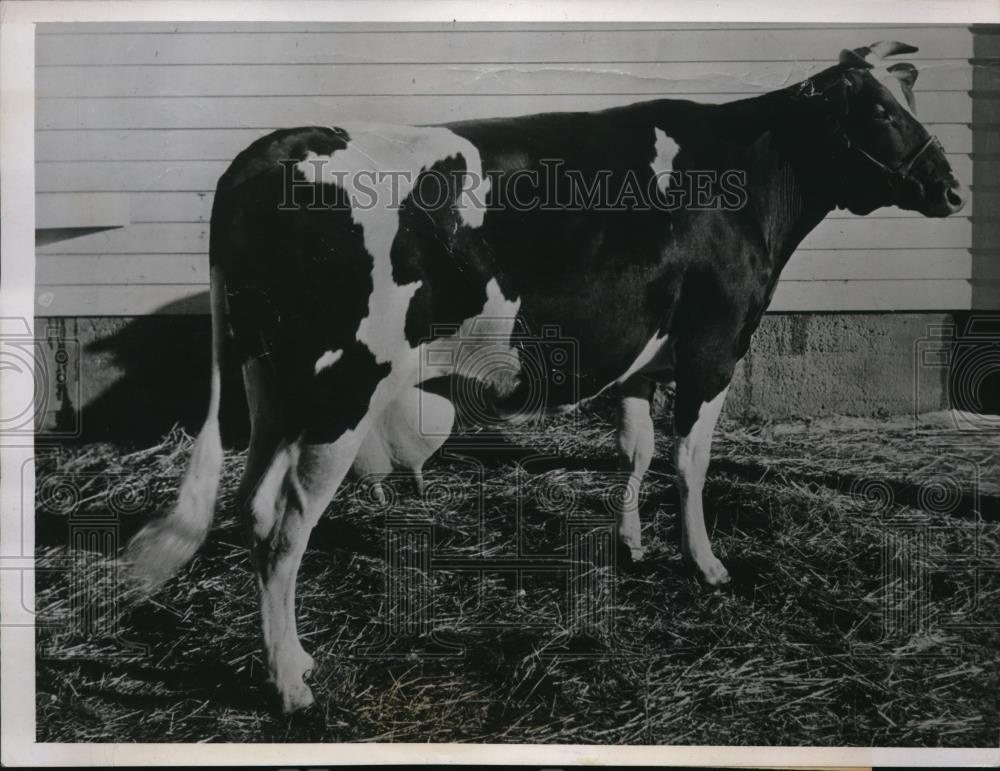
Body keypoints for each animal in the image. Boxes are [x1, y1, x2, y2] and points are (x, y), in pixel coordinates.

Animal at [127, 42, 968, 716]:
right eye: (880, 112)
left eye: (910, 99)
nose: (954, 190)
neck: (749, 175)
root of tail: (275, 147)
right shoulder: (715, 343)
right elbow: (691, 462)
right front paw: (706, 564)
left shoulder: (640, 355)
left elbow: (636, 450)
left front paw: (630, 544)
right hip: (341, 388)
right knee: (285, 531)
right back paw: (292, 687)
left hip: (269, 383)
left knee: (254, 506)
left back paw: (294, 657)